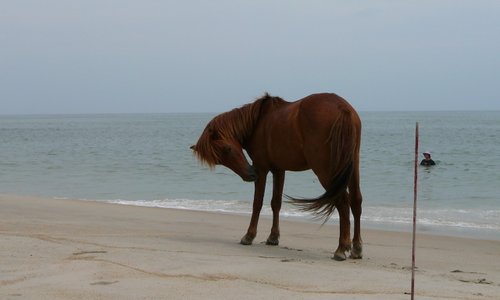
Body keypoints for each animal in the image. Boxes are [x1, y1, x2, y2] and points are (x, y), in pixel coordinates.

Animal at [189, 92, 362, 260]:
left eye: (227, 149)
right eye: (219, 160)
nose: (250, 174)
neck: (258, 121)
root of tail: (342, 108)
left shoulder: (262, 168)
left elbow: (257, 203)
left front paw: (249, 236)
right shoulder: (279, 170)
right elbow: (275, 203)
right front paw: (273, 237)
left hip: (325, 171)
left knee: (343, 202)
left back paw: (341, 248)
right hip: (352, 166)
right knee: (355, 201)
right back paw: (356, 248)